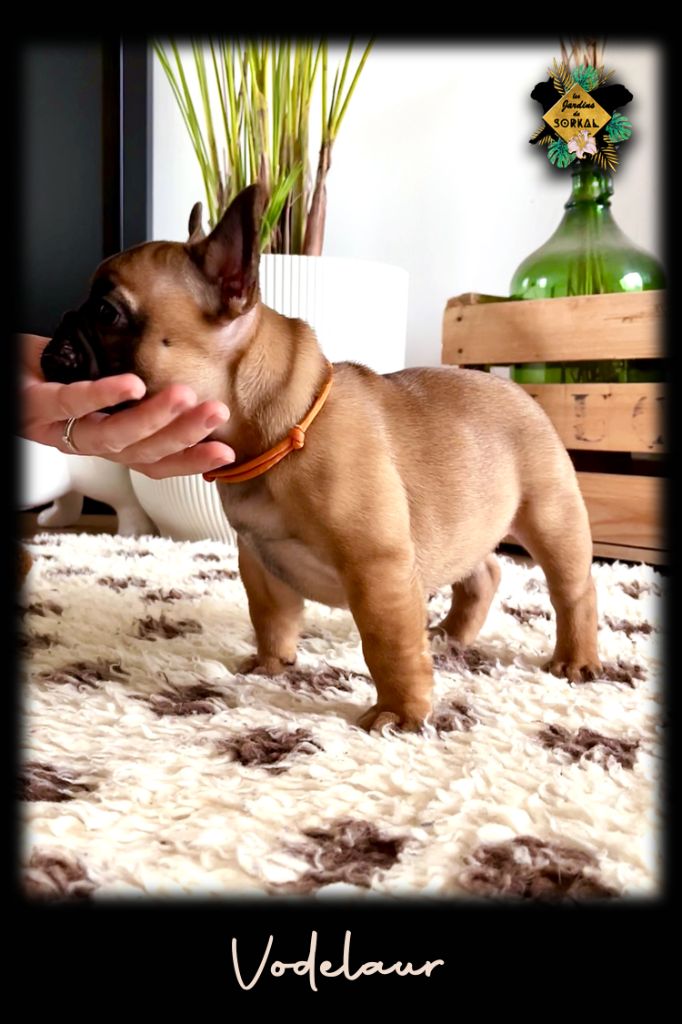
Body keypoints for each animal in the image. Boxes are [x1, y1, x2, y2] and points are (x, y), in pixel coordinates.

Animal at [41, 183, 602, 732]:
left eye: (107, 313)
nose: (56, 330)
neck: (279, 436)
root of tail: (520, 393)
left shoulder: (378, 569)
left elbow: (388, 645)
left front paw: (401, 713)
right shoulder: (260, 559)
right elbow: (271, 616)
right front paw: (271, 665)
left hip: (551, 516)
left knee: (573, 590)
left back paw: (575, 660)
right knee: (482, 571)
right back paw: (451, 635)